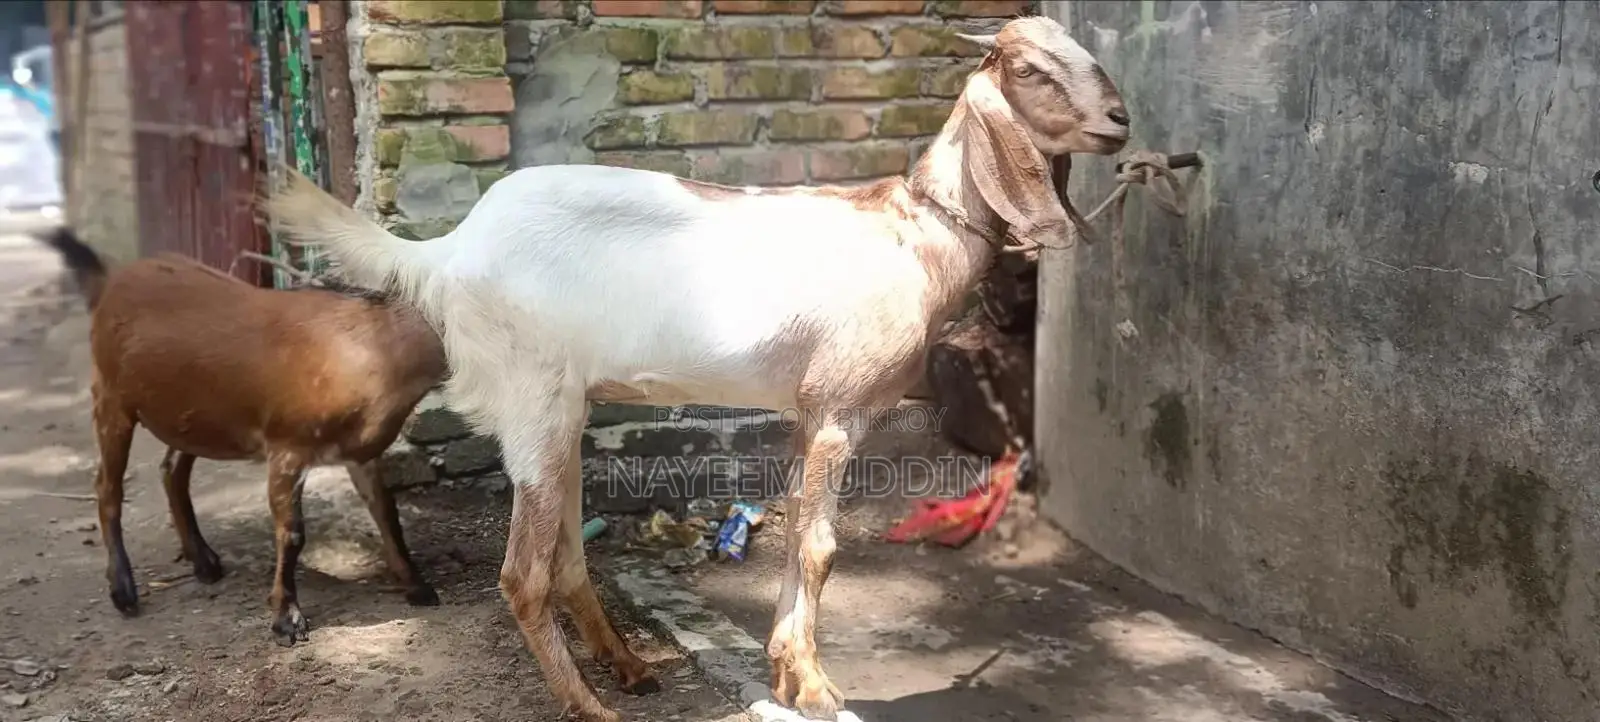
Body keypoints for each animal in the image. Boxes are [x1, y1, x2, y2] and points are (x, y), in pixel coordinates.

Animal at [40, 228, 447, 647]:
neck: (376, 352)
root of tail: (109, 281)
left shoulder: (359, 452)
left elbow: (386, 511)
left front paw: (417, 586)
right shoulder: (287, 446)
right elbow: (293, 533)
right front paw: (287, 620)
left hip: (192, 414)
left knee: (172, 469)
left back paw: (204, 562)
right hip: (110, 397)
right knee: (108, 486)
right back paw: (123, 590)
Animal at [265, 16, 1127, 721]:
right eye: (1030, 69)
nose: (1120, 121)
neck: (914, 236)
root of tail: (446, 250)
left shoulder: (807, 412)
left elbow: (795, 532)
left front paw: (784, 672)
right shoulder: (841, 407)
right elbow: (820, 547)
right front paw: (816, 685)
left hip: (563, 405)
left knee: (567, 556)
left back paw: (629, 668)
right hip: (533, 397)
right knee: (521, 574)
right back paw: (589, 705)